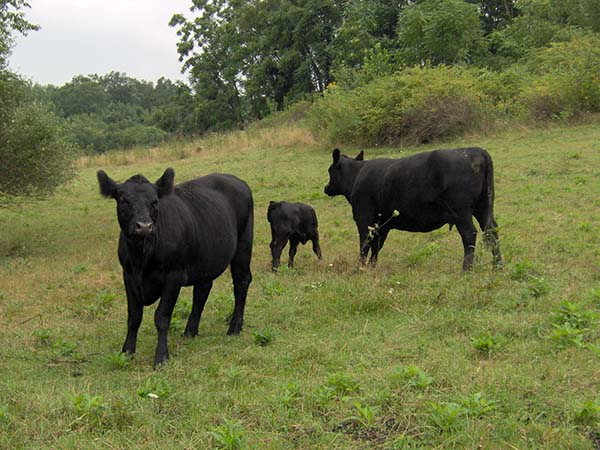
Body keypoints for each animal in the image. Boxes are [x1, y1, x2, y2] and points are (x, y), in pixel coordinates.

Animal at [97, 167, 252, 368]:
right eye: (124, 200)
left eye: (155, 201)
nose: (144, 226)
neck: (141, 259)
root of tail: (235, 179)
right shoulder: (128, 275)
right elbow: (134, 316)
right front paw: (127, 352)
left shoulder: (173, 276)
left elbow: (161, 317)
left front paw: (161, 357)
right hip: (206, 256)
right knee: (202, 290)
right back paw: (190, 331)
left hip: (243, 245)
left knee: (241, 282)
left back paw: (234, 328)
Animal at [324, 147, 502, 270]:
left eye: (330, 170)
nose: (326, 188)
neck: (358, 175)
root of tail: (476, 150)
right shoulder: (382, 225)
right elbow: (376, 247)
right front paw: (372, 267)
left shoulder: (363, 218)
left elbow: (365, 244)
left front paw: (359, 267)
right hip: (483, 207)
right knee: (492, 231)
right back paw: (498, 267)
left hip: (461, 211)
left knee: (469, 234)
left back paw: (466, 270)